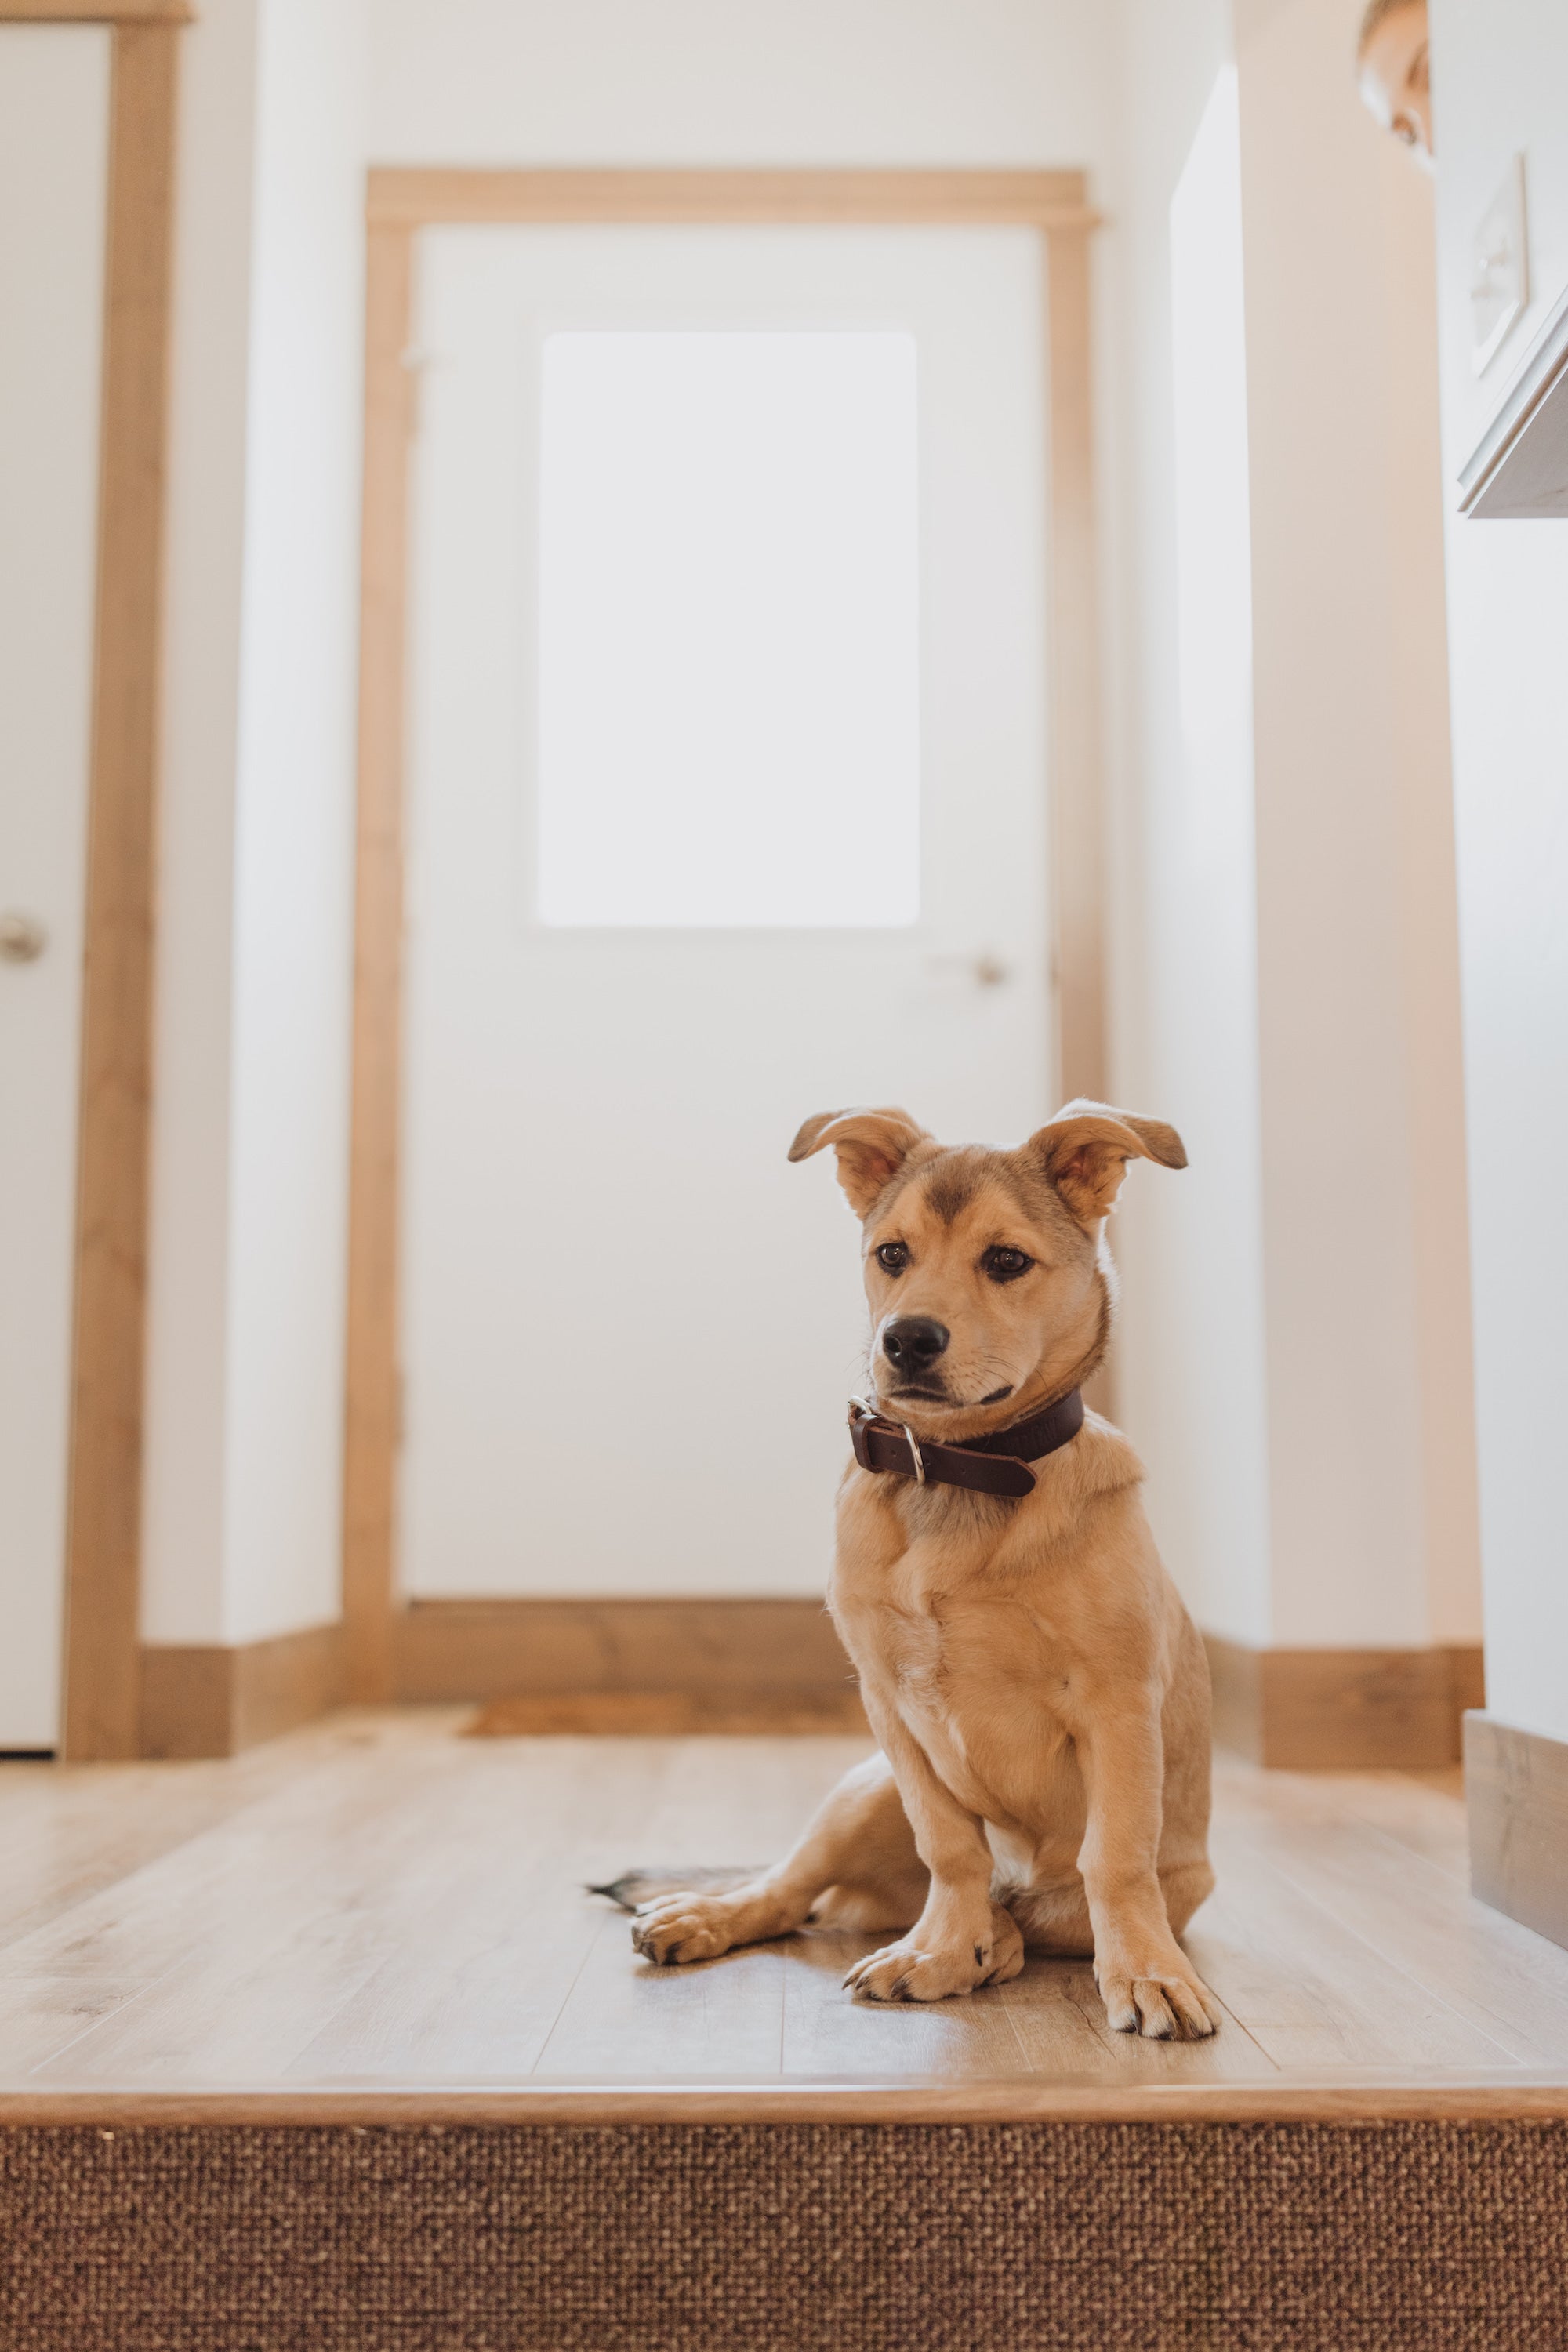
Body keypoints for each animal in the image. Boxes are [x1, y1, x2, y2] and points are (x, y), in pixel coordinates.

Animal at [630, 1101, 1222, 2042]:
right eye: (891, 1255)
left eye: (1006, 1261)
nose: (905, 1339)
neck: (958, 1473)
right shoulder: (889, 1706)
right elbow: (949, 1844)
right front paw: (942, 1946)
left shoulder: (1118, 1704)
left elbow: (1115, 1857)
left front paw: (1144, 1973)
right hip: (859, 1790)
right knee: (789, 1886)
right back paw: (714, 1914)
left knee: (1041, 1910)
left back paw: (1000, 1943)